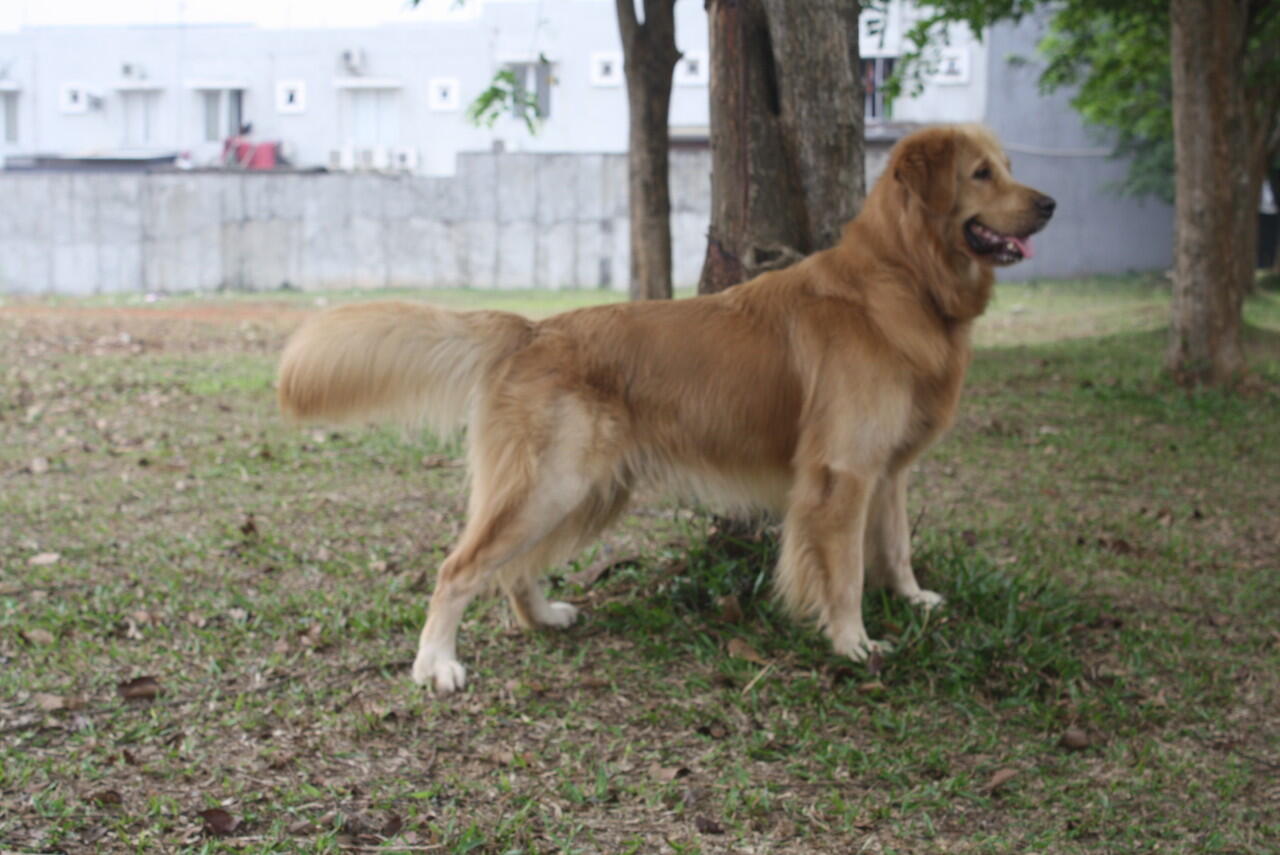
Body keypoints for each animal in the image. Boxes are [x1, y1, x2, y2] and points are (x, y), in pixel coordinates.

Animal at [280, 123, 1059, 691]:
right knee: (459, 567)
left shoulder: (886, 469)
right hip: (553, 482)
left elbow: (894, 546)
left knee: (513, 567)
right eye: (981, 174)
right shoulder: (842, 474)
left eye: (1006, 165)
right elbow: (843, 573)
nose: (1050, 204)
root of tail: (532, 329)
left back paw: (543, 616)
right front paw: (853, 641)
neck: (902, 279)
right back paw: (435, 663)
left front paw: (915, 599)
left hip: (584, 490)